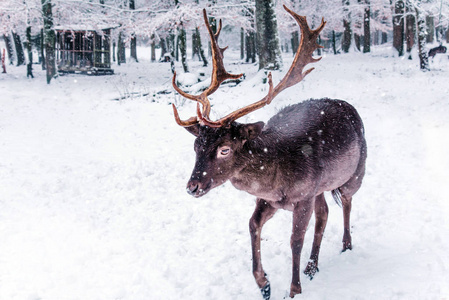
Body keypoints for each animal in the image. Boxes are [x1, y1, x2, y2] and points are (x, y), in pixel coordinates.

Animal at [170, 5, 366, 298]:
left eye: (224, 149)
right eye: (196, 146)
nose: (192, 186)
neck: (277, 183)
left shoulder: (303, 196)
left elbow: (295, 240)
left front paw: (293, 289)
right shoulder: (268, 199)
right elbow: (252, 225)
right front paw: (264, 283)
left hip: (355, 172)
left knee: (346, 202)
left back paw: (346, 245)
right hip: (321, 187)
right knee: (324, 213)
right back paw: (312, 266)